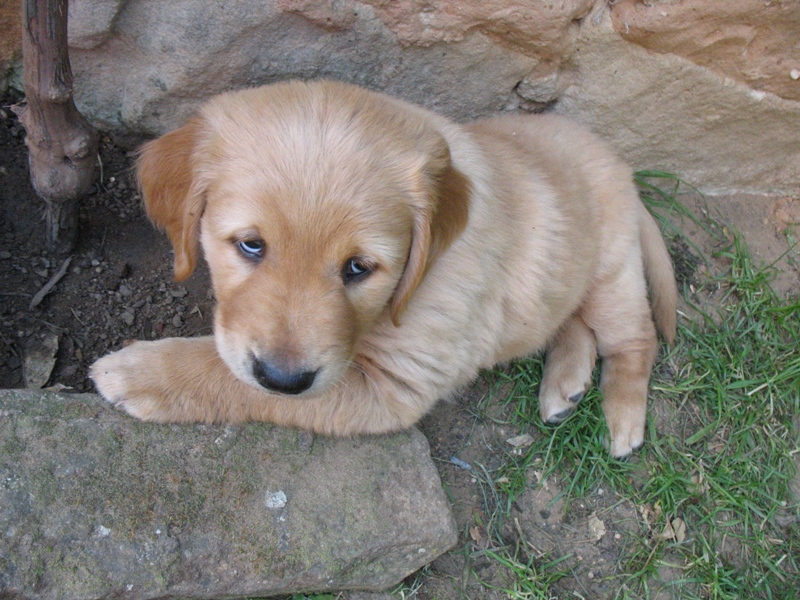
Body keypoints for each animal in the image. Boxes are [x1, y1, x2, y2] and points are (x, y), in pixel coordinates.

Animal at [90, 80, 676, 457]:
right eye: (250, 246)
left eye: (359, 268)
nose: (284, 378)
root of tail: (623, 168)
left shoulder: (391, 385)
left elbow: (229, 377)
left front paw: (143, 372)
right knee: (568, 320)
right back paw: (565, 386)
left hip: (612, 272)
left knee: (637, 337)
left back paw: (622, 419)